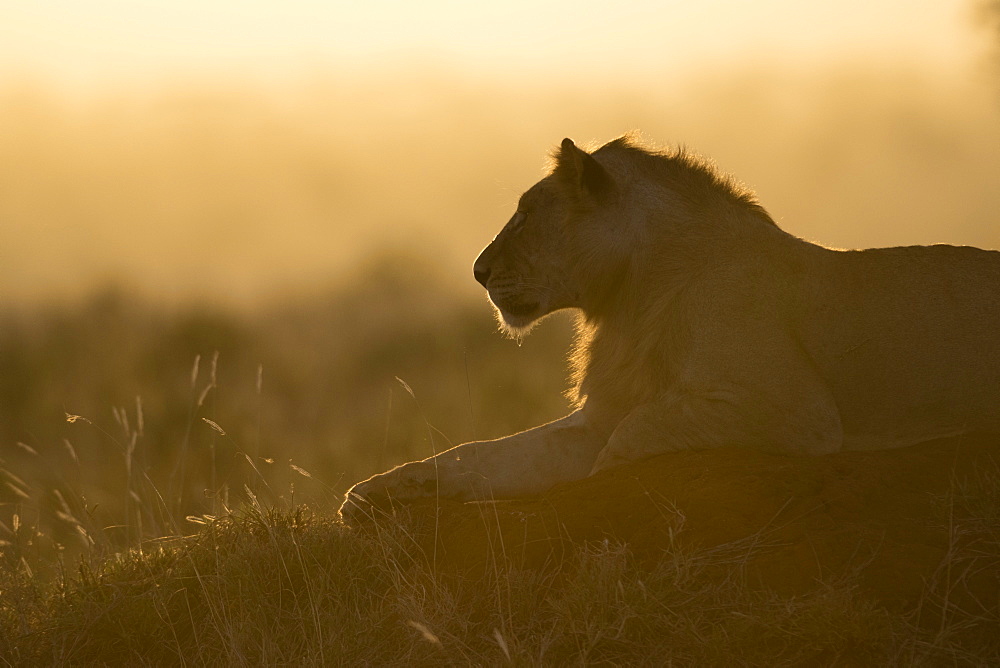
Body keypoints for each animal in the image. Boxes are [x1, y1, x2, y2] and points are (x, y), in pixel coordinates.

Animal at [338, 137, 1000, 520]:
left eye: (525, 214)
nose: (478, 271)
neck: (630, 299)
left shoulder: (799, 414)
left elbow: (635, 432)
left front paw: (604, 481)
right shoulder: (597, 412)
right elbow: (479, 455)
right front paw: (375, 492)